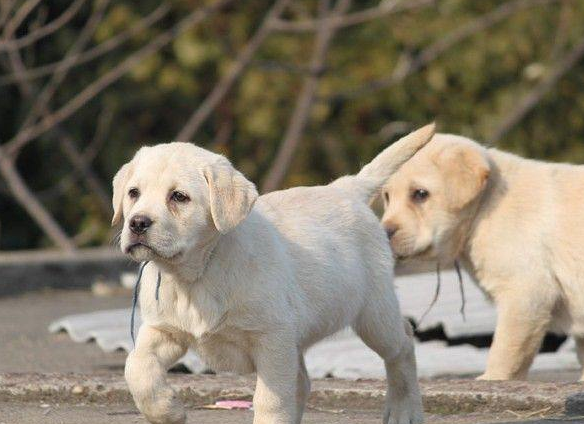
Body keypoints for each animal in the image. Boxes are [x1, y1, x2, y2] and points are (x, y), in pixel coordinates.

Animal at [113, 124, 434, 422]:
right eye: (133, 193)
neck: (195, 275)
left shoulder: (273, 340)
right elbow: (136, 367)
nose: (137, 223)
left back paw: (403, 410)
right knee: (303, 382)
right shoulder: (162, 329)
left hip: (374, 315)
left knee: (403, 344)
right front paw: (168, 411)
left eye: (179, 197)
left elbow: (271, 400)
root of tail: (344, 187)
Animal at [378, 133, 584, 380]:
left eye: (420, 194)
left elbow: (504, 349)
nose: (384, 233)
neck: (485, 207)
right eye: (387, 196)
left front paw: (491, 377)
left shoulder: (524, 292)